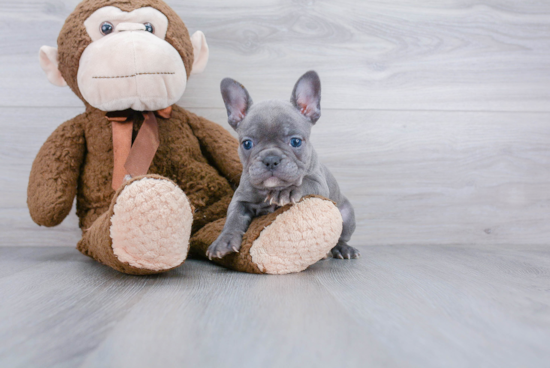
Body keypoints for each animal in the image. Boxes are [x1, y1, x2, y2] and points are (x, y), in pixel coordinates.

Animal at [207, 71, 362, 258]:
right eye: (247, 144)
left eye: (295, 141)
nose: (270, 159)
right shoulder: (240, 199)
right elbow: (233, 218)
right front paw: (224, 240)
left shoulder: (319, 184)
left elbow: (305, 182)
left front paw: (287, 191)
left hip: (347, 215)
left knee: (340, 236)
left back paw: (343, 249)